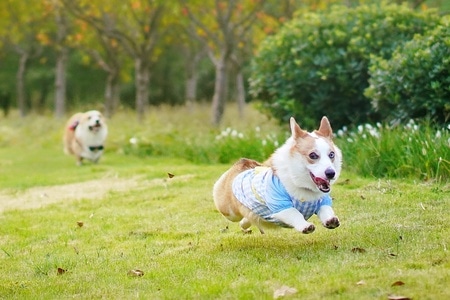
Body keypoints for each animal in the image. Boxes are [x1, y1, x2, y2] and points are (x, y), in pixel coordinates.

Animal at [213, 117, 342, 234]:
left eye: (331, 154)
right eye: (313, 155)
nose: (331, 173)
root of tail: (242, 163)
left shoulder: (323, 201)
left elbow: (326, 209)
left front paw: (331, 221)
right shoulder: (280, 206)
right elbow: (295, 214)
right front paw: (305, 226)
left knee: (248, 219)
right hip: (229, 211)